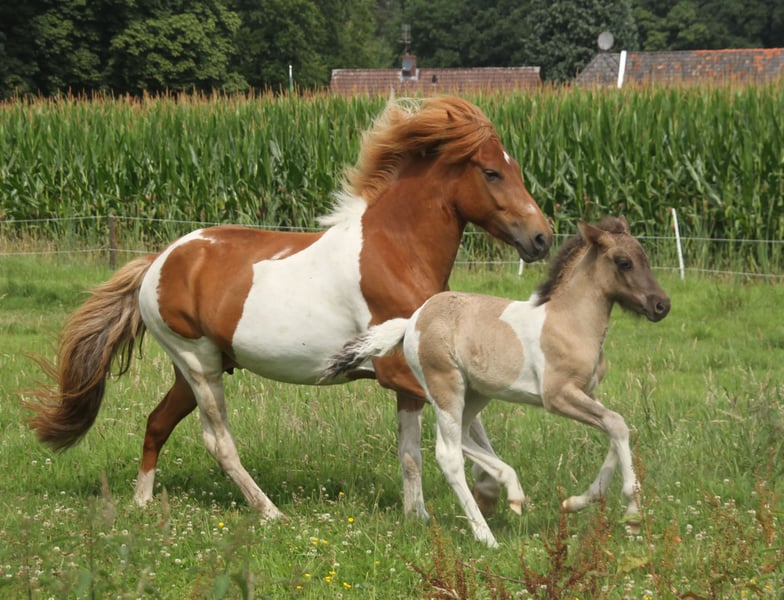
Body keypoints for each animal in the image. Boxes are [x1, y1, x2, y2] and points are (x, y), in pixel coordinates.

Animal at [25, 95, 552, 521]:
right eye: (491, 172)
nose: (542, 238)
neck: (396, 253)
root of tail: (160, 260)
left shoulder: (424, 371)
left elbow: (420, 447)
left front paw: (428, 514)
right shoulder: (396, 369)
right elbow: (449, 435)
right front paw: (496, 493)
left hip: (195, 368)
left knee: (157, 422)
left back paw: (142, 503)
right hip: (199, 366)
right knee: (217, 442)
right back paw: (270, 512)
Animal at [323, 216, 670, 547]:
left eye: (645, 256)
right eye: (624, 262)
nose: (661, 305)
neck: (569, 322)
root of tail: (412, 321)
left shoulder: (586, 393)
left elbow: (615, 429)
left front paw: (576, 502)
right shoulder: (558, 396)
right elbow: (617, 424)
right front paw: (632, 515)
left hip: (477, 393)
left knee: (463, 437)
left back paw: (512, 489)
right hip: (446, 387)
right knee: (448, 454)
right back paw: (486, 536)